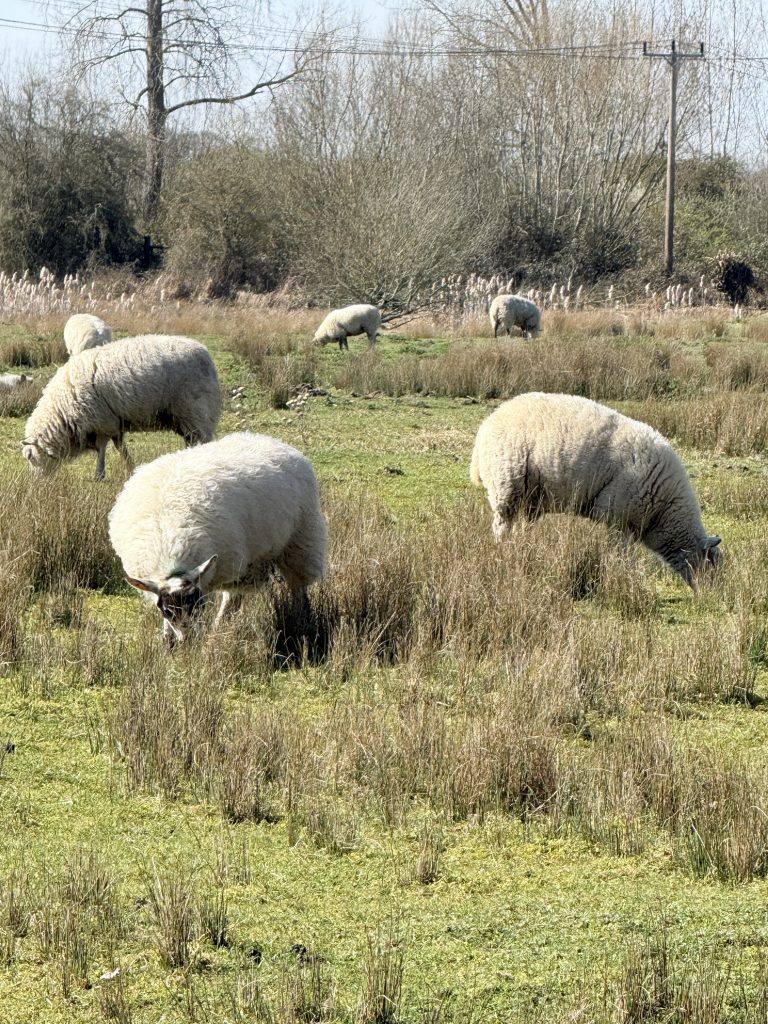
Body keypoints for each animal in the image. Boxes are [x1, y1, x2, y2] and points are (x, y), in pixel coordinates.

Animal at [22, 334, 221, 481]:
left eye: (30, 457)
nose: (36, 483)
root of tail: (206, 354)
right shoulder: (113, 421)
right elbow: (120, 447)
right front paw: (130, 467)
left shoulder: (102, 422)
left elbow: (102, 449)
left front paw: (100, 475)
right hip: (185, 417)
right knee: (191, 440)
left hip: (195, 410)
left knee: (202, 439)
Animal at [108, 431, 328, 644]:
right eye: (168, 611)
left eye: (199, 605)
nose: (188, 641)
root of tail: (268, 439)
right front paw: (168, 642)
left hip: (299, 541)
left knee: (296, 586)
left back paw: (297, 621)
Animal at [470, 392, 721, 588]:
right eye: (711, 562)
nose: (713, 597)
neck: (663, 513)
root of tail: (486, 425)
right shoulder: (617, 516)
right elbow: (620, 552)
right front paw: (621, 574)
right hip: (506, 486)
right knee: (502, 526)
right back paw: (504, 550)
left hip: (531, 497)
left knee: (523, 525)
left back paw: (524, 547)